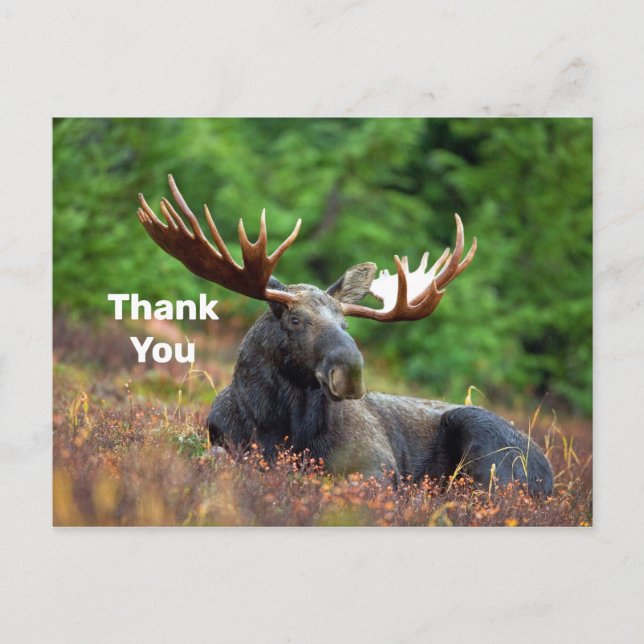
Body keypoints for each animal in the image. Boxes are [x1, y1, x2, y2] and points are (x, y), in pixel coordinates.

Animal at [137, 175, 554, 495]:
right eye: (295, 320)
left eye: (345, 325)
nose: (351, 373)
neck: (278, 427)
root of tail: (549, 473)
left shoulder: (377, 464)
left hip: (487, 446)